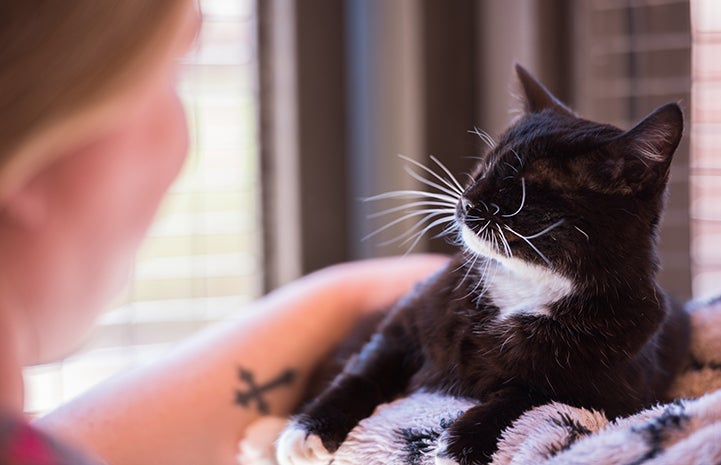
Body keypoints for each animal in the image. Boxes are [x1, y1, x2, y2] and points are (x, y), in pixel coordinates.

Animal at [274, 64, 688, 464]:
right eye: (486, 166)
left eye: (525, 185)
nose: (467, 200)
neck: (525, 284)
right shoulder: (413, 314)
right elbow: (368, 367)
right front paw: (310, 429)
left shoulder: (616, 387)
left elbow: (528, 395)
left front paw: (459, 445)